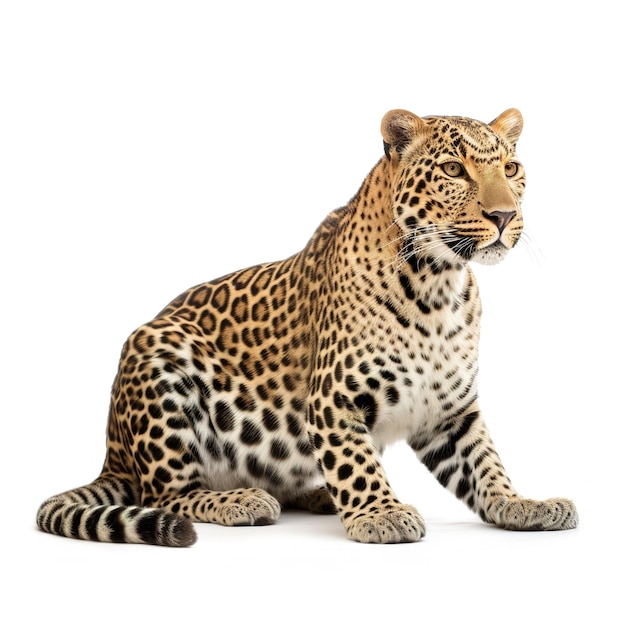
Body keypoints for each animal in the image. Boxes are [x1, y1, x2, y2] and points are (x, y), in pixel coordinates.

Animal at [36, 108, 576, 544]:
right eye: (453, 170)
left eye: (511, 168)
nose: (504, 215)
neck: (439, 288)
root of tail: (113, 451)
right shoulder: (335, 398)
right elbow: (357, 463)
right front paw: (381, 513)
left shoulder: (449, 412)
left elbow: (485, 466)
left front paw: (524, 505)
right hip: (157, 360)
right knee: (166, 494)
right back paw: (242, 500)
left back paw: (314, 496)